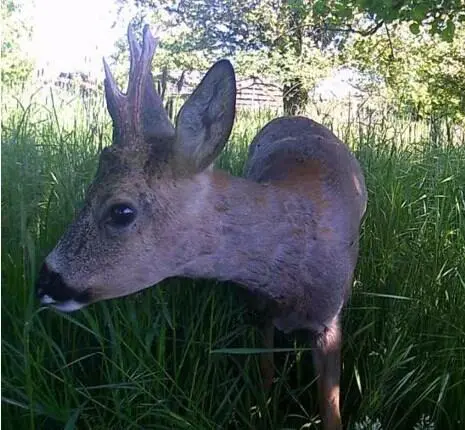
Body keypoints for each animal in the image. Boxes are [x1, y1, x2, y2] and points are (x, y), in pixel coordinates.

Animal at [36, 24, 366, 430]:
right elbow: (265, 377)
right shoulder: (257, 311)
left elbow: (331, 409)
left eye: (122, 211)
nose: (44, 282)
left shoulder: (330, 320)